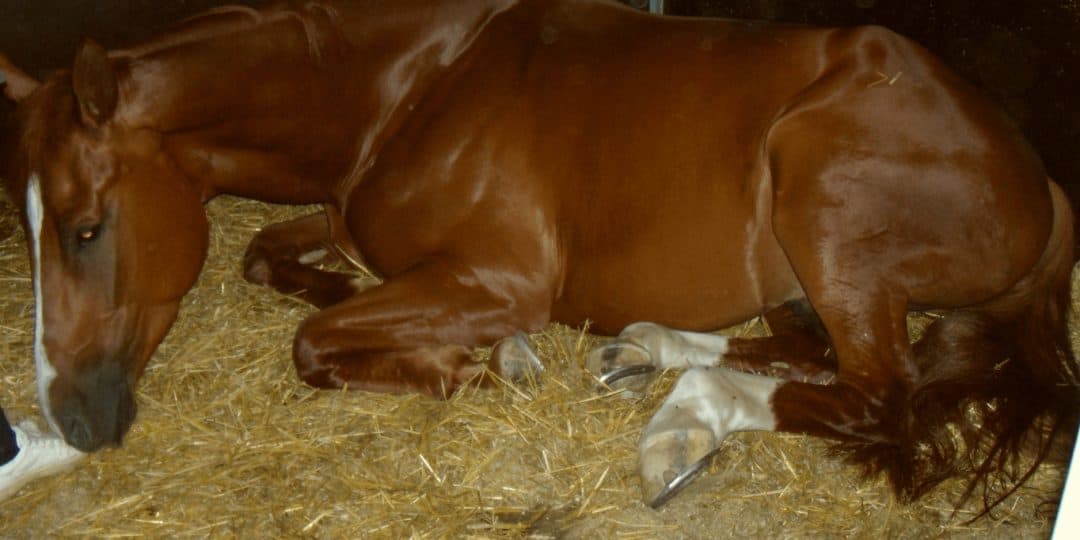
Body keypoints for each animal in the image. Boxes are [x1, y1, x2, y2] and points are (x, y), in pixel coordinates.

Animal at [0, 0, 1075, 516]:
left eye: (86, 226)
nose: (73, 419)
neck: (413, 82)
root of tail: (1044, 182)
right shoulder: (346, 221)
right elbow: (267, 257)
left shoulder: (497, 280)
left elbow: (312, 343)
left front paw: (478, 363)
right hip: (800, 273)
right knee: (805, 354)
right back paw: (641, 351)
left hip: (821, 203)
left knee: (875, 393)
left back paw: (681, 423)